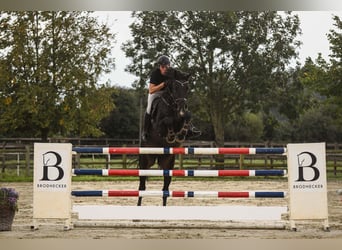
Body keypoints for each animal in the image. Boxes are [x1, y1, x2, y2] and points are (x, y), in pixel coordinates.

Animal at [138, 67, 192, 206]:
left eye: (187, 87)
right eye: (175, 87)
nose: (182, 107)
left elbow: (187, 117)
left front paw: (182, 132)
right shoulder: (159, 126)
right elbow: (168, 121)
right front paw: (171, 135)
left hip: (168, 162)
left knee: (165, 189)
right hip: (145, 161)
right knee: (142, 187)